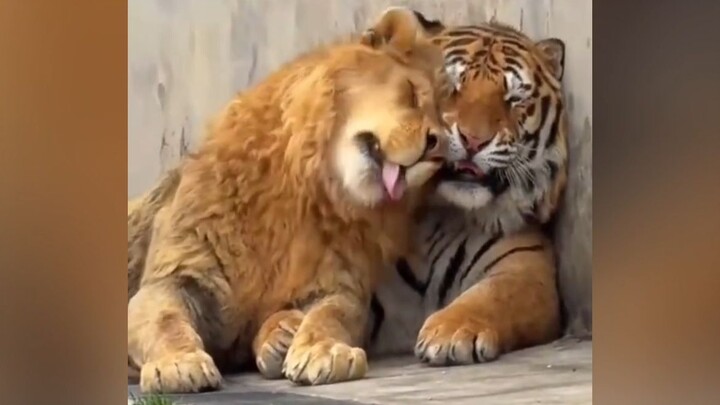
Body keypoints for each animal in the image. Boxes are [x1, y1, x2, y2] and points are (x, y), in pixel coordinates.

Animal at [127, 9, 452, 394]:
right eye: (414, 94)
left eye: (444, 135)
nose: (436, 146)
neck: (314, 187)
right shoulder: (178, 276)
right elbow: (164, 320)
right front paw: (178, 365)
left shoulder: (335, 286)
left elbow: (333, 315)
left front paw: (322, 350)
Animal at [363, 8, 569, 366]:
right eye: (452, 86)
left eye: (513, 98)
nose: (473, 141)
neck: (439, 216)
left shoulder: (525, 267)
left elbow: (493, 296)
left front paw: (451, 332)